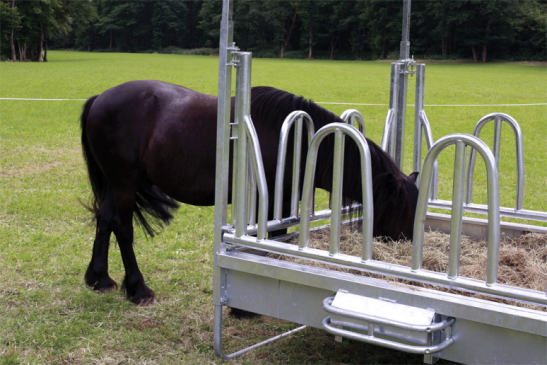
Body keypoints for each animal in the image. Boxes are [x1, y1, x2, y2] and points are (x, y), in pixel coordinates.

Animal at [80, 80, 420, 304]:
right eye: (400, 210)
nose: (406, 247)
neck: (294, 139)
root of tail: (99, 99)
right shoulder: (273, 202)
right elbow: (272, 238)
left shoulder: (284, 201)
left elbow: (281, 237)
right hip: (124, 182)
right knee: (122, 227)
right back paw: (138, 289)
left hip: (115, 184)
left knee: (105, 219)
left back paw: (99, 279)